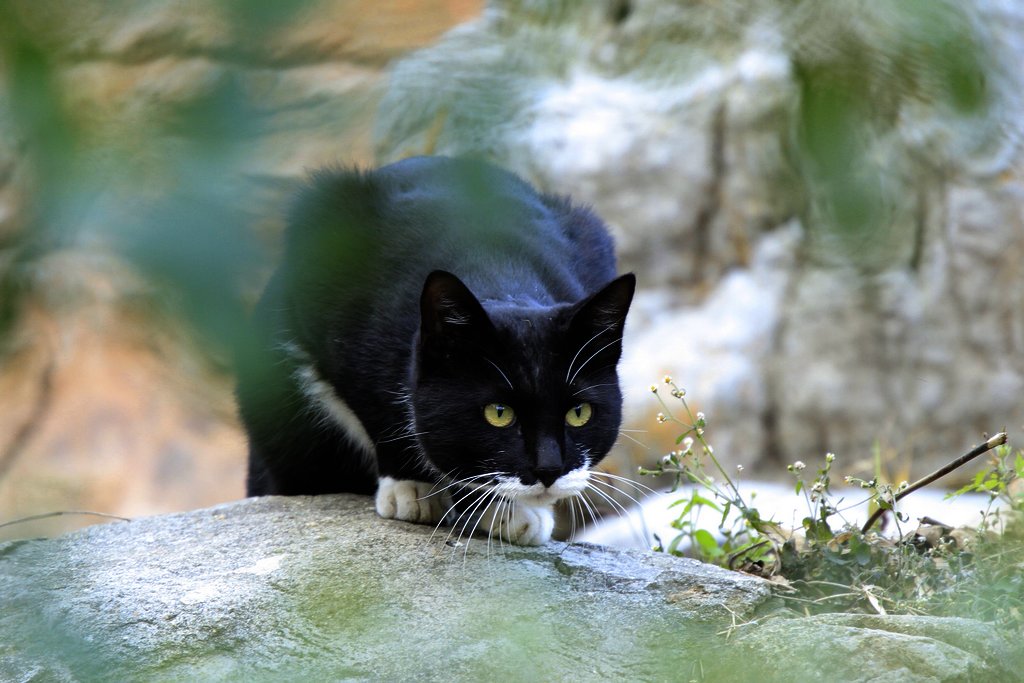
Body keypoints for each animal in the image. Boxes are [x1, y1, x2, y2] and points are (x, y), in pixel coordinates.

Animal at [237, 154, 630, 544]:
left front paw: (503, 511)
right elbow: (372, 396)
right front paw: (411, 488)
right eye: (498, 413)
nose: (549, 469)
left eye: (579, 413)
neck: (493, 262)